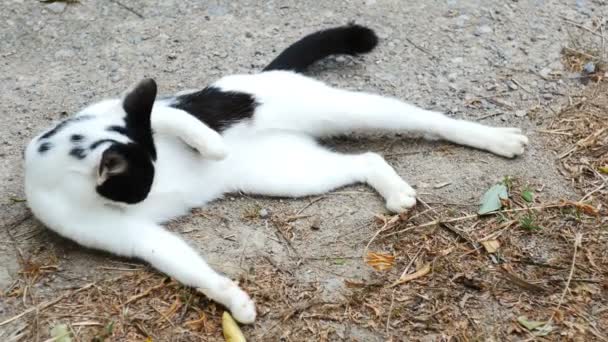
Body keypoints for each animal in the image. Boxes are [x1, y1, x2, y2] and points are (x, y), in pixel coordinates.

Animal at [23, 24, 528, 324]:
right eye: (140, 187)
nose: (151, 192)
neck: (56, 170)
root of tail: (270, 73)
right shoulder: (130, 235)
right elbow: (187, 265)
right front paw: (234, 301)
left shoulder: (130, 109)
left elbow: (174, 117)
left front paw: (211, 145)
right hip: (291, 172)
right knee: (366, 159)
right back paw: (396, 192)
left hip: (348, 109)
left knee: (429, 120)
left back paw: (500, 139)